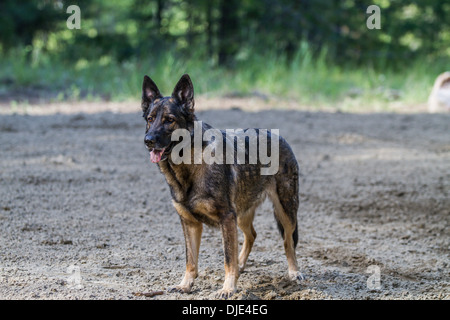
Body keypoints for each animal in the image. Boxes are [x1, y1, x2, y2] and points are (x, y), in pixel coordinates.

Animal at [141, 74, 302, 298]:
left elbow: (227, 258)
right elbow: (191, 260)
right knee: (251, 235)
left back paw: (294, 272)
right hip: (242, 214)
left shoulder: (226, 218)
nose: (148, 140)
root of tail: (278, 136)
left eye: (169, 120)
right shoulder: (191, 223)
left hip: (285, 210)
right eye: (150, 119)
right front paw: (186, 285)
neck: (188, 165)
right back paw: (242, 266)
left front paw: (228, 288)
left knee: (288, 242)